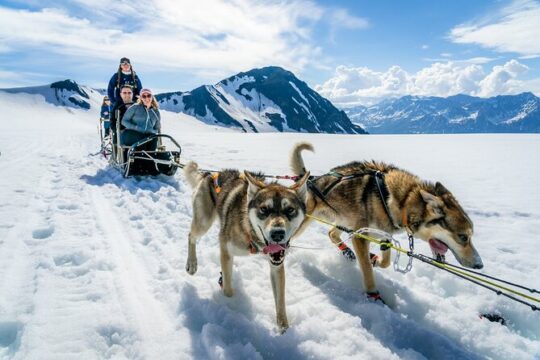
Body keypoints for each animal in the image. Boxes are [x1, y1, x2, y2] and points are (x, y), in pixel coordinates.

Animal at [184, 162, 308, 332]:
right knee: (191, 235)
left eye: (290, 210)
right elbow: (228, 290)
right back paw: (192, 264)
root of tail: (209, 174)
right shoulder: (225, 248)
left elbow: (281, 301)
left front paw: (284, 330)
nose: (277, 234)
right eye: (264, 209)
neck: (250, 231)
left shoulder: (277, 265)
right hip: (203, 222)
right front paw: (233, 305)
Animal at [288, 142, 484, 300]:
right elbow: (367, 270)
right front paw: (373, 295)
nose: (480, 265)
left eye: (470, 236)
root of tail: (309, 181)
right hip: (305, 223)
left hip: (344, 221)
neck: (402, 201)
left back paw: (348, 252)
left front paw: (375, 258)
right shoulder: (360, 236)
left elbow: (386, 261)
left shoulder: (384, 236)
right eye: (463, 237)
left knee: (331, 233)